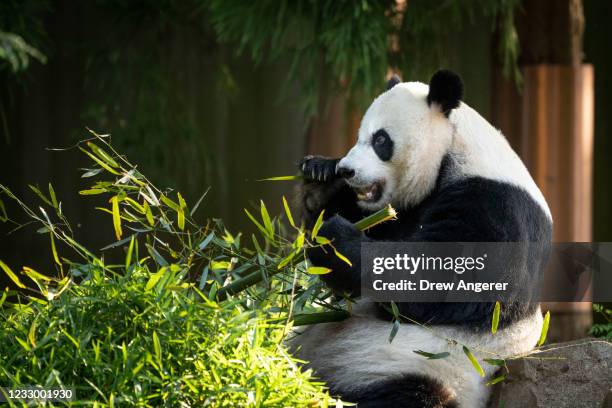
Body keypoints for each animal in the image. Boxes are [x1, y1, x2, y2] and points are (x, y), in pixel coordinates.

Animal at [290, 71, 552, 408]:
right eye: (359, 135)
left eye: (380, 140)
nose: (347, 170)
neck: (455, 149)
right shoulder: (403, 212)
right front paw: (320, 177)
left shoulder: (497, 209)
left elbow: (444, 285)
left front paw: (335, 240)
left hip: (411, 367)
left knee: (409, 395)